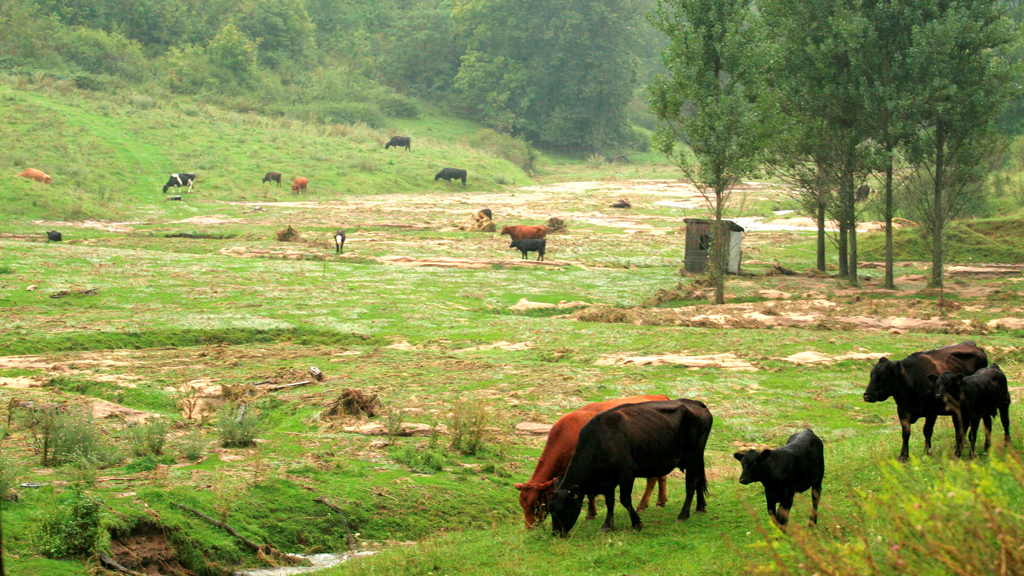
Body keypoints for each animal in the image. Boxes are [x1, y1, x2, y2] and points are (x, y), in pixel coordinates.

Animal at [512, 391, 671, 528]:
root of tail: (660, 396)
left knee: (652, 479)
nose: (529, 528)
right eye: (522, 505)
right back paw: (661, 501)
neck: (566, 437)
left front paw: (590, 514)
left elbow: (590, 493)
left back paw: (643, 504)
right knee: (662, 477)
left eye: (535, 505)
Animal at [552, 397, 712, 537]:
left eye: (561, 510)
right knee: (698, 480)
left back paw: (683, 515)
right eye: (550, 510)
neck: (601, 441)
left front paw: (636, 522)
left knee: (690, 485)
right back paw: (700, 507)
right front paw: (607, 525)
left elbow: (624, 499)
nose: (556, 533)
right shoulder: (608, 480)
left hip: (692, 457)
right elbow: (610, 502)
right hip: (696, 459)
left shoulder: (627, 474)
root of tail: (695, 403)